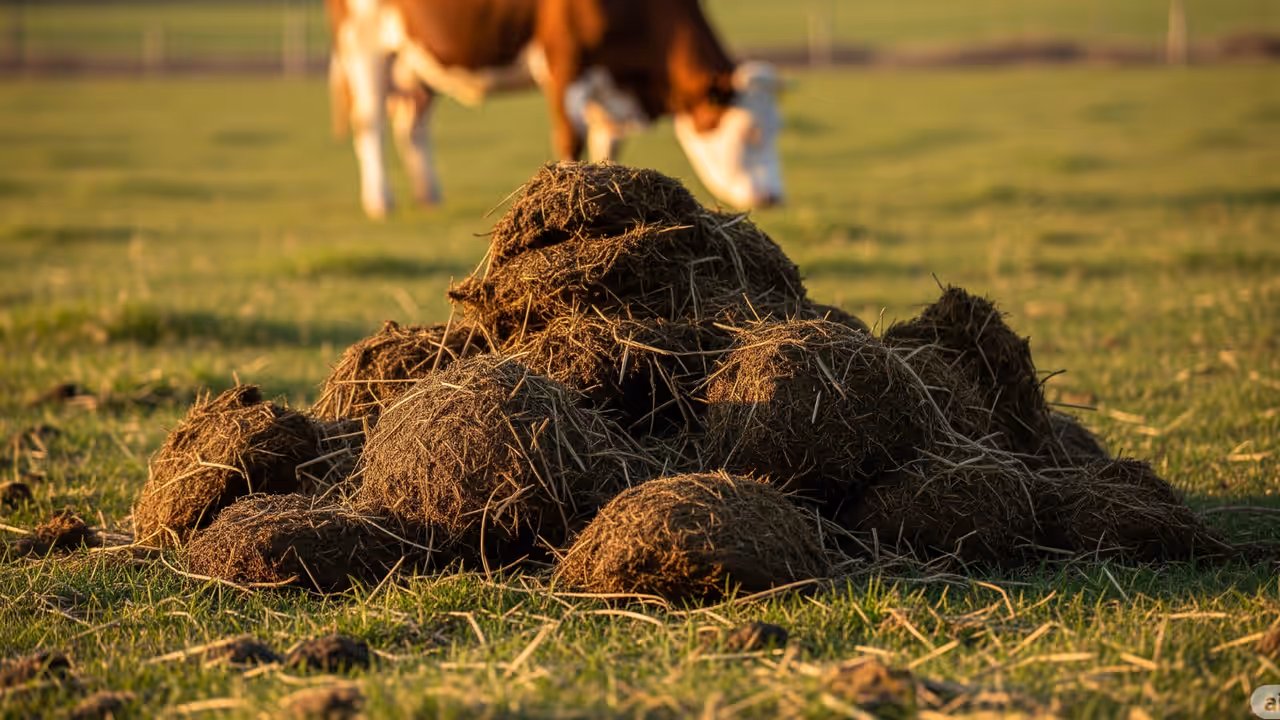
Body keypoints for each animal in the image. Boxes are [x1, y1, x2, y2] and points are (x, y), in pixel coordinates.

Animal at [325, 0, 785, 219]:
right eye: (750, 132)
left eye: (778, 128)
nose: (775, 197)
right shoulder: (564, 60)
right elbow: (571, 138)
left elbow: (608, 145)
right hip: (363, 40)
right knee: (370, 121)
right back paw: (380, 201)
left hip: (416, 57)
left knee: (412, 123)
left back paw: (429, 196)